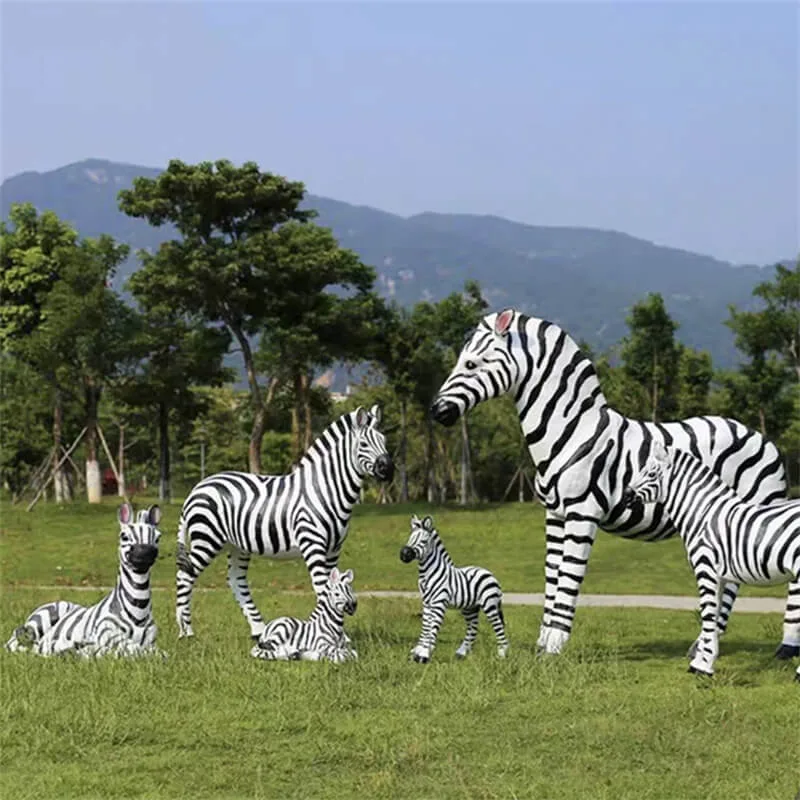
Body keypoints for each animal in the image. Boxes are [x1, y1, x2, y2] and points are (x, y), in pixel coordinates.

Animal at [5, 503, 165, 659]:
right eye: (124, 536)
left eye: (157, 538)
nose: (145, 552)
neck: (139, 611)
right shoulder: (107, 633)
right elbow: (134, 649)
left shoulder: (151, 641)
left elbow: (158, 653)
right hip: (40, 622)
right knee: (16, 642)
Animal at [176, 404, 393, 640]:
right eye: (363, 444)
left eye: (384, 440)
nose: (388, 469)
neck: (324, 490)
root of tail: (198, 487)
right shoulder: (312, 544)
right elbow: (322, 588)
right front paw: (328, 634)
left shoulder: (334, 549)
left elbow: (333, 586)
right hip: (207, 539)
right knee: (185, 575)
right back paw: (186, 631)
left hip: (236, 545)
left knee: (235, 580)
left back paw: (259, 630)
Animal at [400, 514, 509, 663]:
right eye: (410, 539)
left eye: (424, 541)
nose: (404, 554)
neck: (427, 573)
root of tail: (489, 573)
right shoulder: (426, 603)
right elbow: (425, 626)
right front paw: (418, 652)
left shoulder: (439, 603)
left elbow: (433, 627)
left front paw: (424, 655)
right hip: (470, 608)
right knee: (472, 627)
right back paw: (461, 653)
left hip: (490, 605)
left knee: (498, 626)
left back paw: (502, 655)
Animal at [429, 308, 797, 658]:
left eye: (471, 363)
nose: (436, 411)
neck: (572, 431)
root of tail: (764, 439)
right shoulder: (555, 514)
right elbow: (552, 575)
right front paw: (542, 643)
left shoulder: (582, 514)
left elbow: (569, 577)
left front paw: (555, 647)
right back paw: (705, 645)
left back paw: (783, 647)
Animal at [622, 443, 800, 680]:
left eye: (650, 474)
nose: (625, 496)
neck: (703, 515)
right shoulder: (720, 575)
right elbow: (714, 617)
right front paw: (702, 660)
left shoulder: (705, 568)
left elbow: (707, 613)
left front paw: (703, 666)